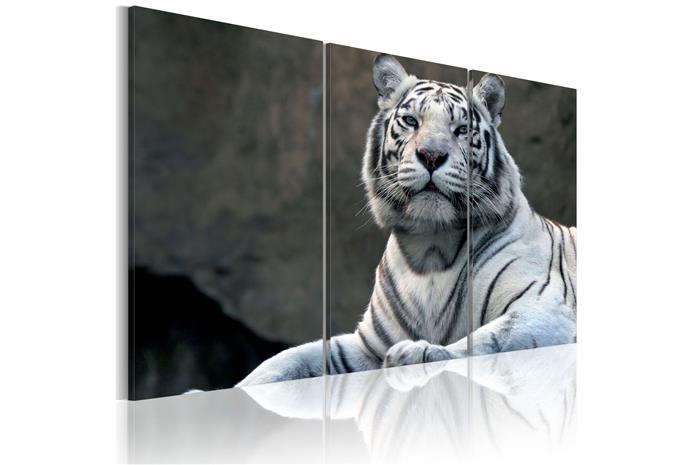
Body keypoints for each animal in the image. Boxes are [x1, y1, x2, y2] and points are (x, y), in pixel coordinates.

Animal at [237, 54, 576, 387]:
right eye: (412, 121)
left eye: (461, 129)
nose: (432, 155)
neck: (430, 248)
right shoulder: (367, 345)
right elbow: (289, 359)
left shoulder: (545, 308)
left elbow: (485, 341)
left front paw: (417, 352)